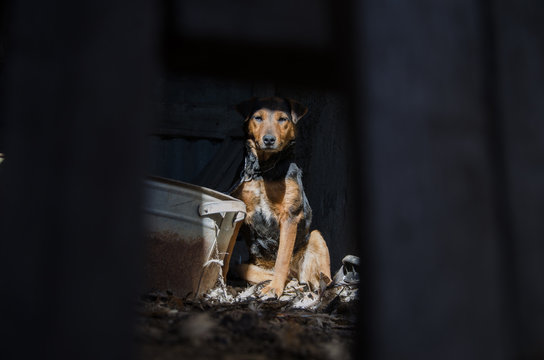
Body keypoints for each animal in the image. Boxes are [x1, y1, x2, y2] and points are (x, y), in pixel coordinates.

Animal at [231, 97, 332, 296]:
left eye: (283, 119)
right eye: (258, 118)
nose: (269, 140)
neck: (263, 171)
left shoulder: (290, 216)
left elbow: (282, 259)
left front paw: (275, 288)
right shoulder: (240, 210)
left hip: (316, 236)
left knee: (320, 277)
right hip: (247, 266)